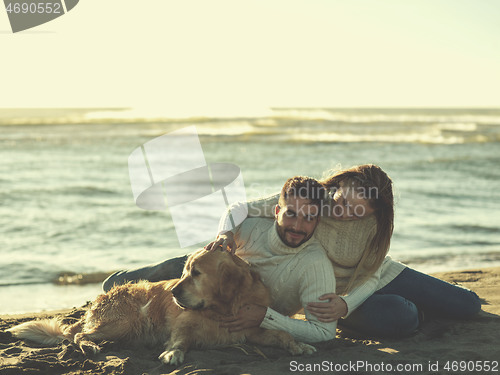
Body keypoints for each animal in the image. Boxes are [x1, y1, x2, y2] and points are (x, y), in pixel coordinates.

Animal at [6, 250, 312, 368]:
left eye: (196, 273)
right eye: (184, 271)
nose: (173, 291)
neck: (223, 309)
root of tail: (98, 300)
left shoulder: (250, 329)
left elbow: (281, 334)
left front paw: (299, 345)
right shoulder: (182, 323)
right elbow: (181, 339)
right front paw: (173, 353)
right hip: (127, 321)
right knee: (78, 335)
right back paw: (90, 346)